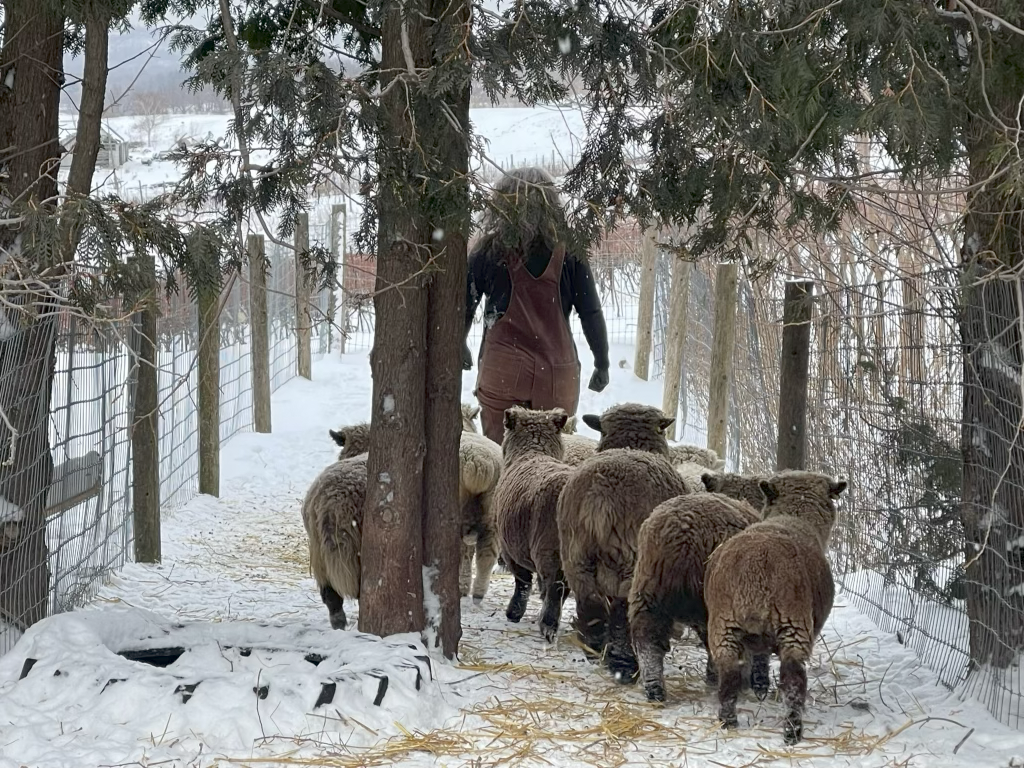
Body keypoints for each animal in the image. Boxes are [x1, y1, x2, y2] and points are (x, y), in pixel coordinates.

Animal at [492, 406, 575, 641]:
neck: (533, 451)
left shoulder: (509, 549)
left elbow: (522, 582)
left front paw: (514, 613)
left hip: (549, 549)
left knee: (556, 587)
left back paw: (547, 624)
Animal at [556, 403, 690, 682]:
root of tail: (600, 494)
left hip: (575, 553)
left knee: (590, 600)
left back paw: (595, 647)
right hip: (631, 557)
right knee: (623, 607)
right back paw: (625, 663)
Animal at [705, 470, 847, 745]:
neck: (795, 517)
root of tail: (755, 571)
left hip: (723, 625)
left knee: (728, 673)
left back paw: (728, 721)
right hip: (794, 625)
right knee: (793, 678)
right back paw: (792, 730)